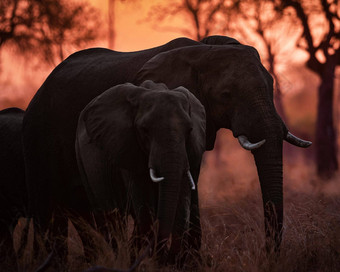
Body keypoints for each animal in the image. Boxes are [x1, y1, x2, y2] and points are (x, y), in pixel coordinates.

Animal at [75, 80, 206, 264]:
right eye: (144, 130)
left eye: (190, 130)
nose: (166, 258)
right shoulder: (127, 147)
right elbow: (144, 205)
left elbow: (182, 199)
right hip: (83, 161)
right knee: (111, 218)